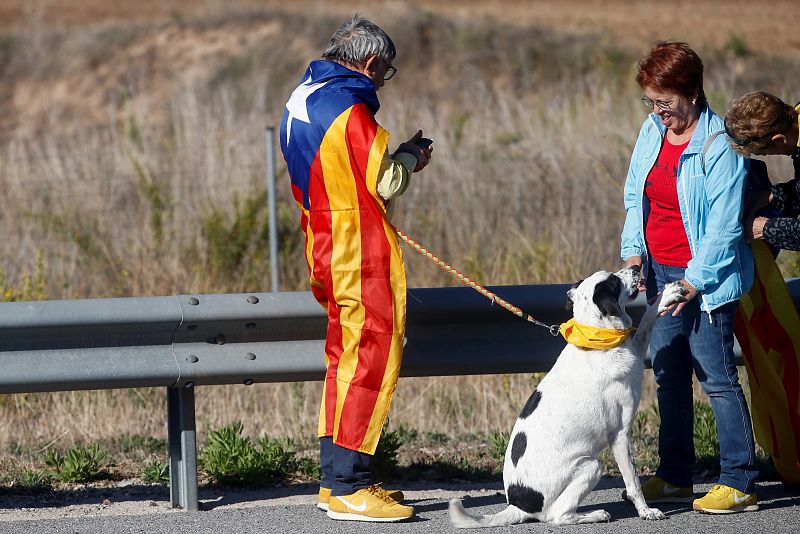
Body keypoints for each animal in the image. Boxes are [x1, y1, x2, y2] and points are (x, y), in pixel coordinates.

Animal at [450, 268, 688, 528]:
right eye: (614, 281)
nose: (635, 269)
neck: (599, 338)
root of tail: (519, 505)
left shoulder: (635, 346)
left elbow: (647, 318)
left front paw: (666, 296)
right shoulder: (620, 434)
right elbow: (633, 482)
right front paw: (646, 511)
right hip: (591, 466)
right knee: (558, 516)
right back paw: (595, 514)